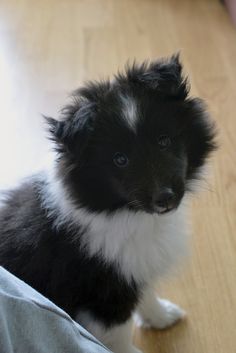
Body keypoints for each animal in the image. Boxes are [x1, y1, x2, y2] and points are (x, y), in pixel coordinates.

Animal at [0, 55, 216, 352]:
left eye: (164, 141)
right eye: (120, 160)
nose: (165, 198)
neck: (127, 214)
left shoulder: (134, 267)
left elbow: (146, 293)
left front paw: (161, 316)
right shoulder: (106, 294)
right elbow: (119, 337)